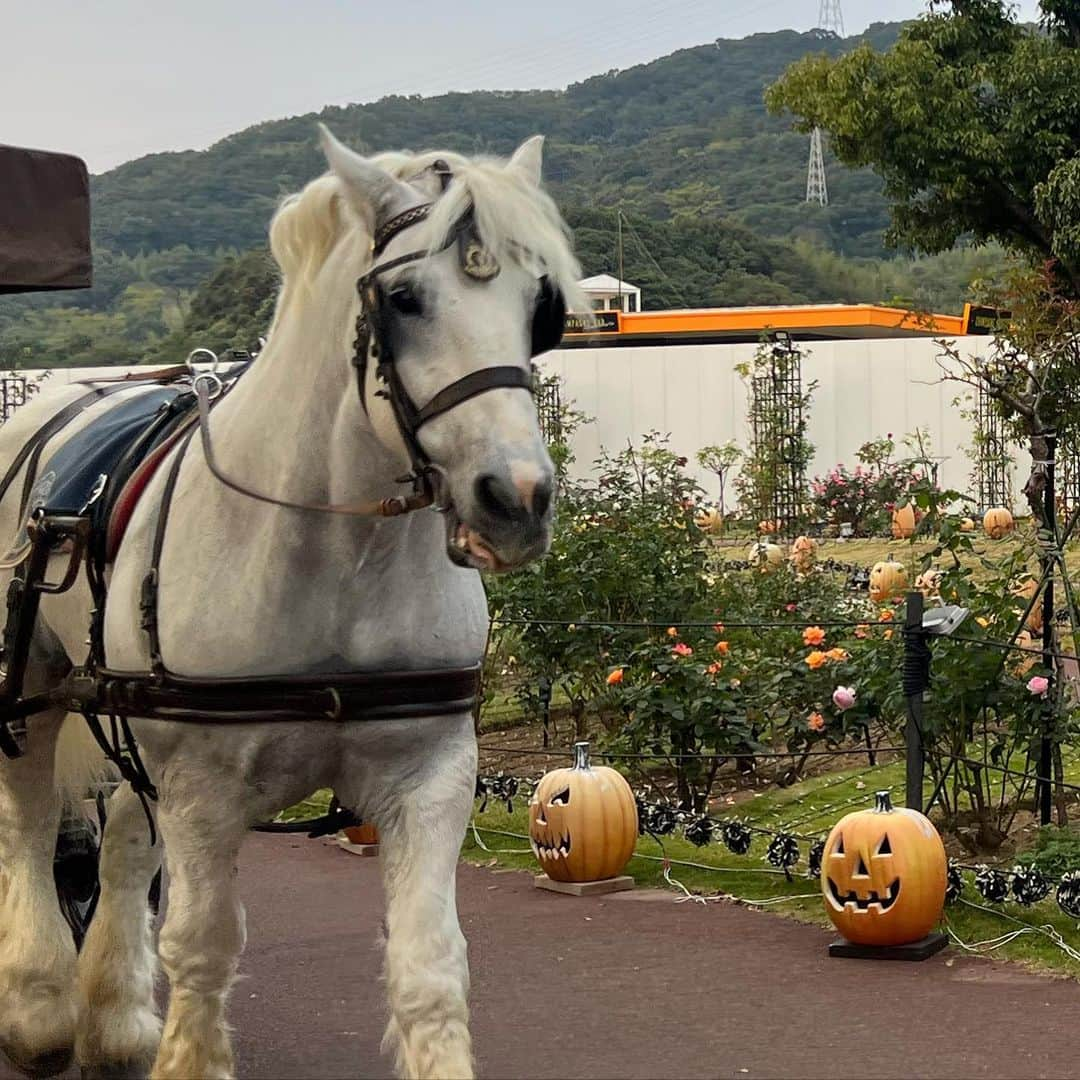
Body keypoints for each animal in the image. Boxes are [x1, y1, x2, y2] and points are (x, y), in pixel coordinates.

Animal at [0, 128, 583, 1080]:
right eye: (404, 299)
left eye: (542, 306)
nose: (518, 499)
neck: (336, 560)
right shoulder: (202, 788)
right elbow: (203, 947)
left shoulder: (430, 777)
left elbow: (430, 965)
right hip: (36, 693)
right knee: (30, 819)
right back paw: (39, 1008)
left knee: (121, 840)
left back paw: (114, 1020)